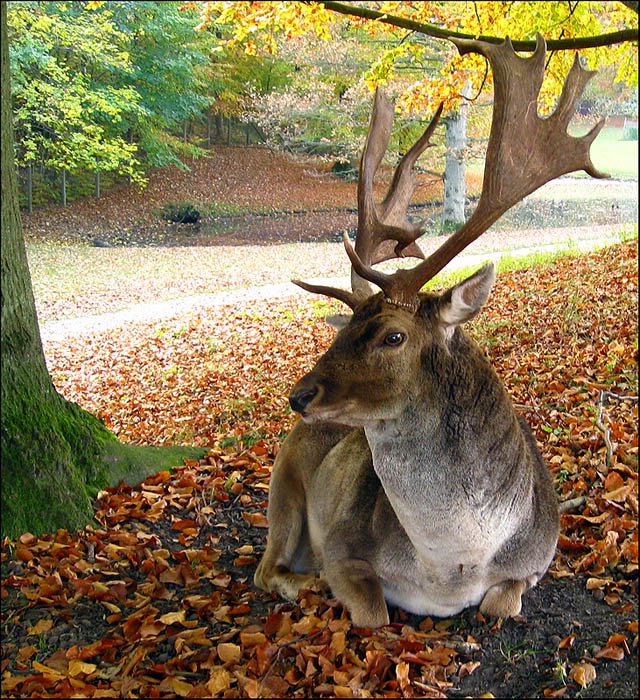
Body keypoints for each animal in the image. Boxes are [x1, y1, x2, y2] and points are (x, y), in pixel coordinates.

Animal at [254, 35, 604, 628]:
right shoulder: (343, 548)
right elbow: (373, 613)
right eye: (345, 329)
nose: (301, 395)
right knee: (264, 568)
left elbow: (498, 605)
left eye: (393, 336)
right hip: (282, 485)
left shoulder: (540, 556)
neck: (451, 567)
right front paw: (326, 586)